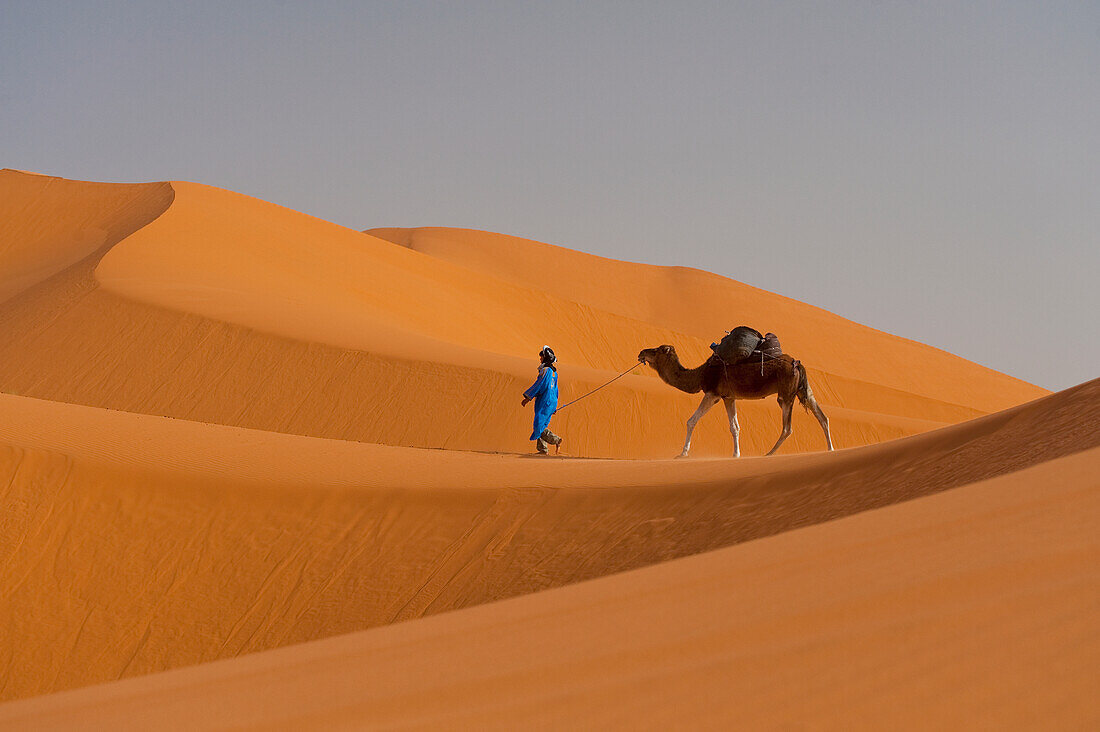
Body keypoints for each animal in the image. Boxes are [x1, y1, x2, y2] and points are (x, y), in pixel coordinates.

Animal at [638, 343, 831, 457]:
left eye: (657, 350)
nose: (641, 352)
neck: (700, 374)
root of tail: (797, 363)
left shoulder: (713, 394)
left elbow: (691, 421)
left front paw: (683, 453)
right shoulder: (729, 397)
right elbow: (735, 427)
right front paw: (736, 455)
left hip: (786, 393)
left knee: (787, 428)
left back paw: (769, 453)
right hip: (804, 390)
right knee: (823, 417)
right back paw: (831, 449)